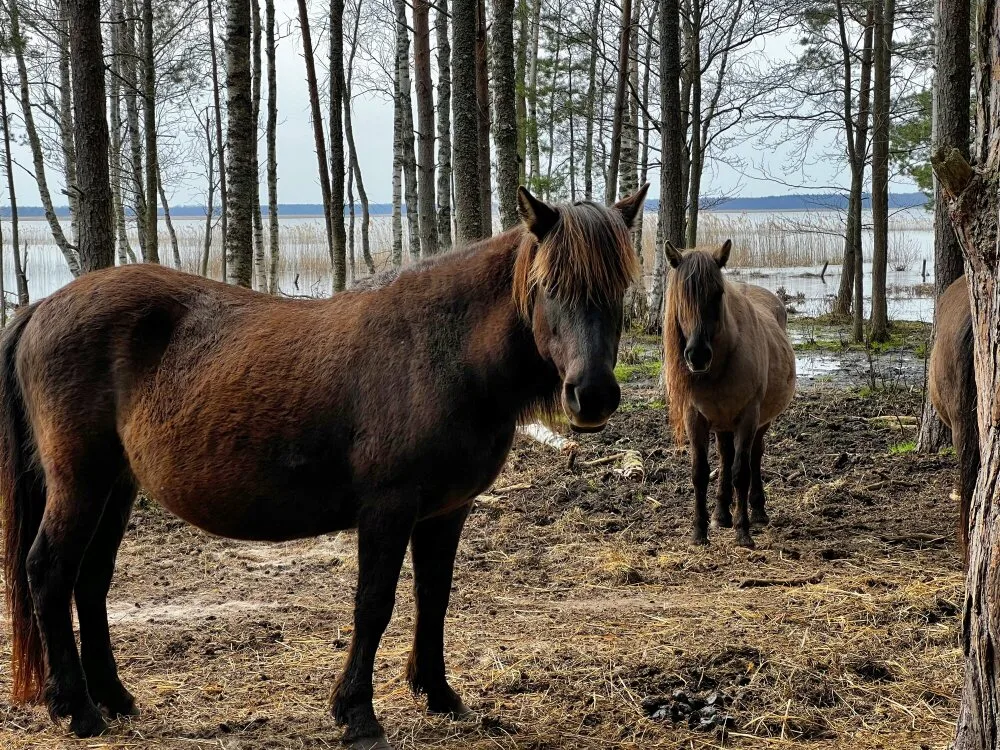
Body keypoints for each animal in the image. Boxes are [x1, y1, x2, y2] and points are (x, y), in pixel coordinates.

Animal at [0, 184, 648, 748]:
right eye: (547, 285)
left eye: (618, 285)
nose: (592, 395)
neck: (442, 353)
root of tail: (41, 308)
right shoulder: (387, 509)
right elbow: (374, 603)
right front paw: (358, 714)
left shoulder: (447, 511)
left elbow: (434, 595)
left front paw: (439, 694)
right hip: (80, 483)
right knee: (49, 571)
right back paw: (78, 709)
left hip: (116, 487)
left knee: (90, 581)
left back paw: (113, 697)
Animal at [661, 240, 796, 548]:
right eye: (681, 295)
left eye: (717, 293)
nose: (698, 355)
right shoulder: (695, 417)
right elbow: (700, 472)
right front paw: (699, 531)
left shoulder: (748, 417)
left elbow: (741, 472)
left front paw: (742, 530)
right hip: (721, 423)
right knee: (724, 456)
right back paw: (721, 514)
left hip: (759, 421)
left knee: (754, 456)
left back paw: (757, 511)